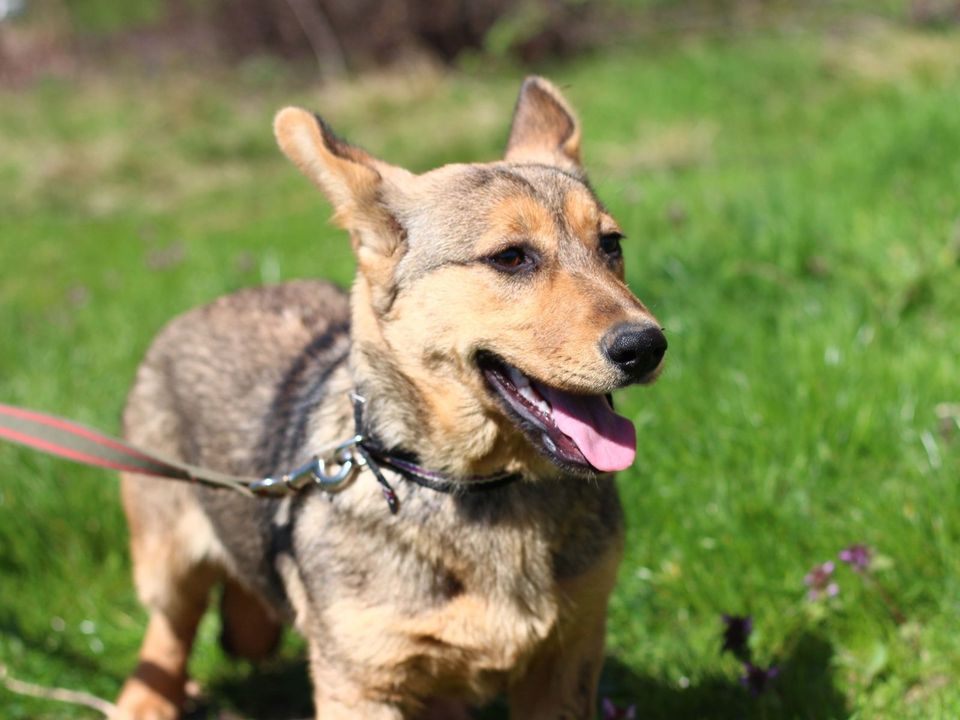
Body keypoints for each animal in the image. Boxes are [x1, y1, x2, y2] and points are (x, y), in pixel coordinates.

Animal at [112, 79, 664, 720]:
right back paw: (147, 701)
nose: (647, 346)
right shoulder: (361, 682)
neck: (479, 487)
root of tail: (205, 306)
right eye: (510, 257)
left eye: (611, 244)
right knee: (169, 631)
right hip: (165, 559)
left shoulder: (567, 658)